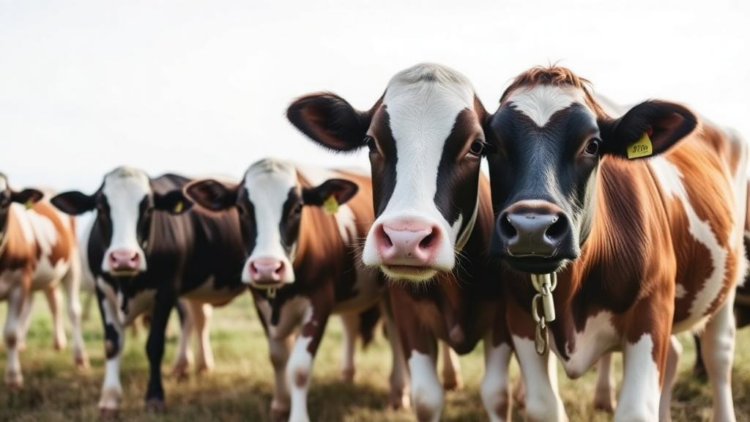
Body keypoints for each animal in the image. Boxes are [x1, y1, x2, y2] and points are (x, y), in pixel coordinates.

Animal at [0, 173, 88, 388]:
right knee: (50, 301)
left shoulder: (19, 283)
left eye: (4, 201)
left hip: (72, 264)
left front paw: (13, 377)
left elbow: (10, 334)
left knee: (73, 310)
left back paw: (79, 357)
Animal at [184, 159, 410, 422]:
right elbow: (278, 357)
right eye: (241, 209)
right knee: (351, 325)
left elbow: (299, 368)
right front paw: (280, 404)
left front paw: (298, 415)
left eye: (297, 208)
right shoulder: (261, 304)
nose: (267, 267)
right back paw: (348, 375)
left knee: (395, 334)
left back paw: (399, 393)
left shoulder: (319, 302)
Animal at [285, 64, 514, 422]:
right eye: (371, 142)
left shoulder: (502, 319)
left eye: (476, 146)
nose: (406, 237)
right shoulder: (408, 313)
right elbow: (427, 398)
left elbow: (497, 395)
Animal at [484, 66, 746, 421]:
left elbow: (635, 410)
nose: (532, 227)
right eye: (491, 145)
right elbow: (544, 405)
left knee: (718, 354)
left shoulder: (652, 307)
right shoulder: (521, 317)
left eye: (593, 145)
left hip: (725, 285)